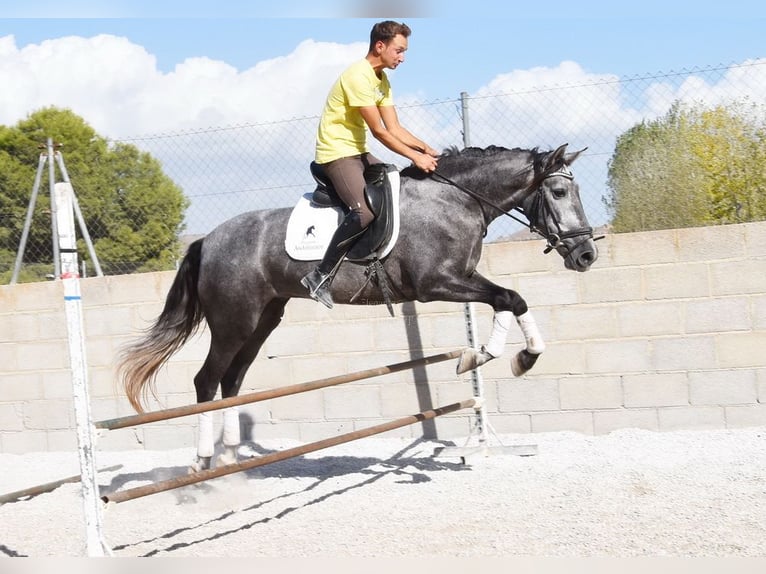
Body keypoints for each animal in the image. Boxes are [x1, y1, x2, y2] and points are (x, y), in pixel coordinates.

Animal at [118, 143, 600, 471]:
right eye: (559, 191)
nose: (587, 255)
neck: (458, 199)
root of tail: (208, 240)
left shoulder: (463, 279)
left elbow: (512, 299)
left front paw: (512, 355)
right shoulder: (436, 284)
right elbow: (507, 298)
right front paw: (492, 356)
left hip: (263, 321)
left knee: (232, 381)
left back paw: (232, 458)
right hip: (234, 321)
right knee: (207, 381)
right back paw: (203, 461)